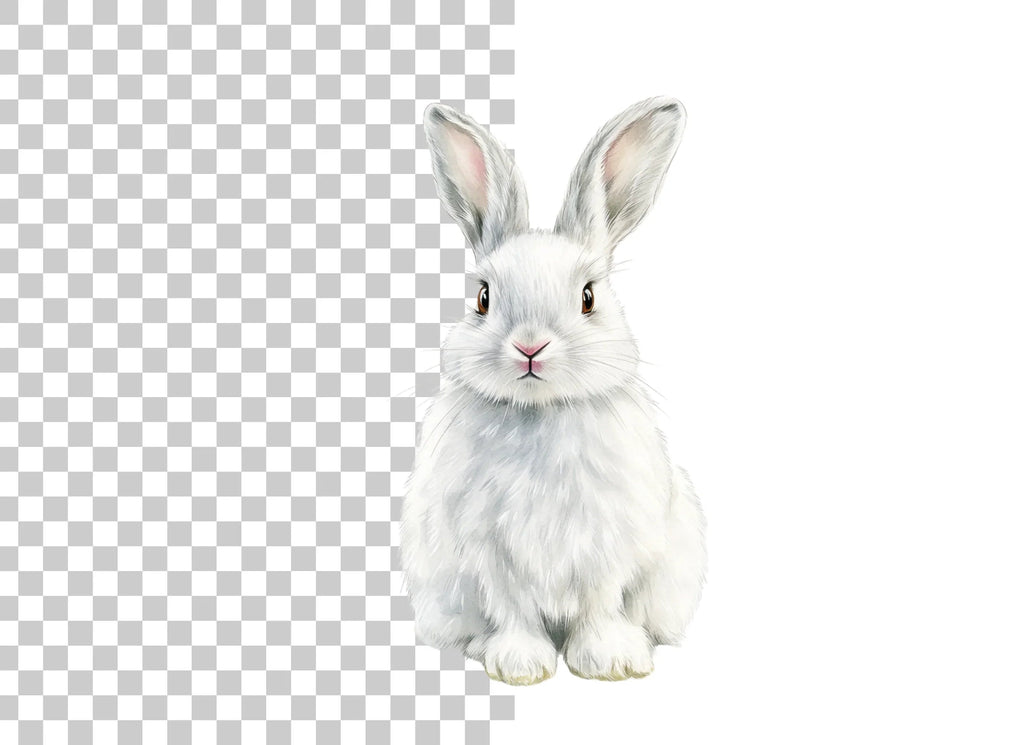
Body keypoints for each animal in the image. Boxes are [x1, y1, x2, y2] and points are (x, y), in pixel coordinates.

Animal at [400, 97, 707, 685]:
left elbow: (599, 603)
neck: (539, 413)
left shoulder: (607, 544)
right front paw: (521, 665)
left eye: (588, 297)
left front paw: (610, 661)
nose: (530, 347)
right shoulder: (489, 551)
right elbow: (512, 605)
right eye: (483, 297)